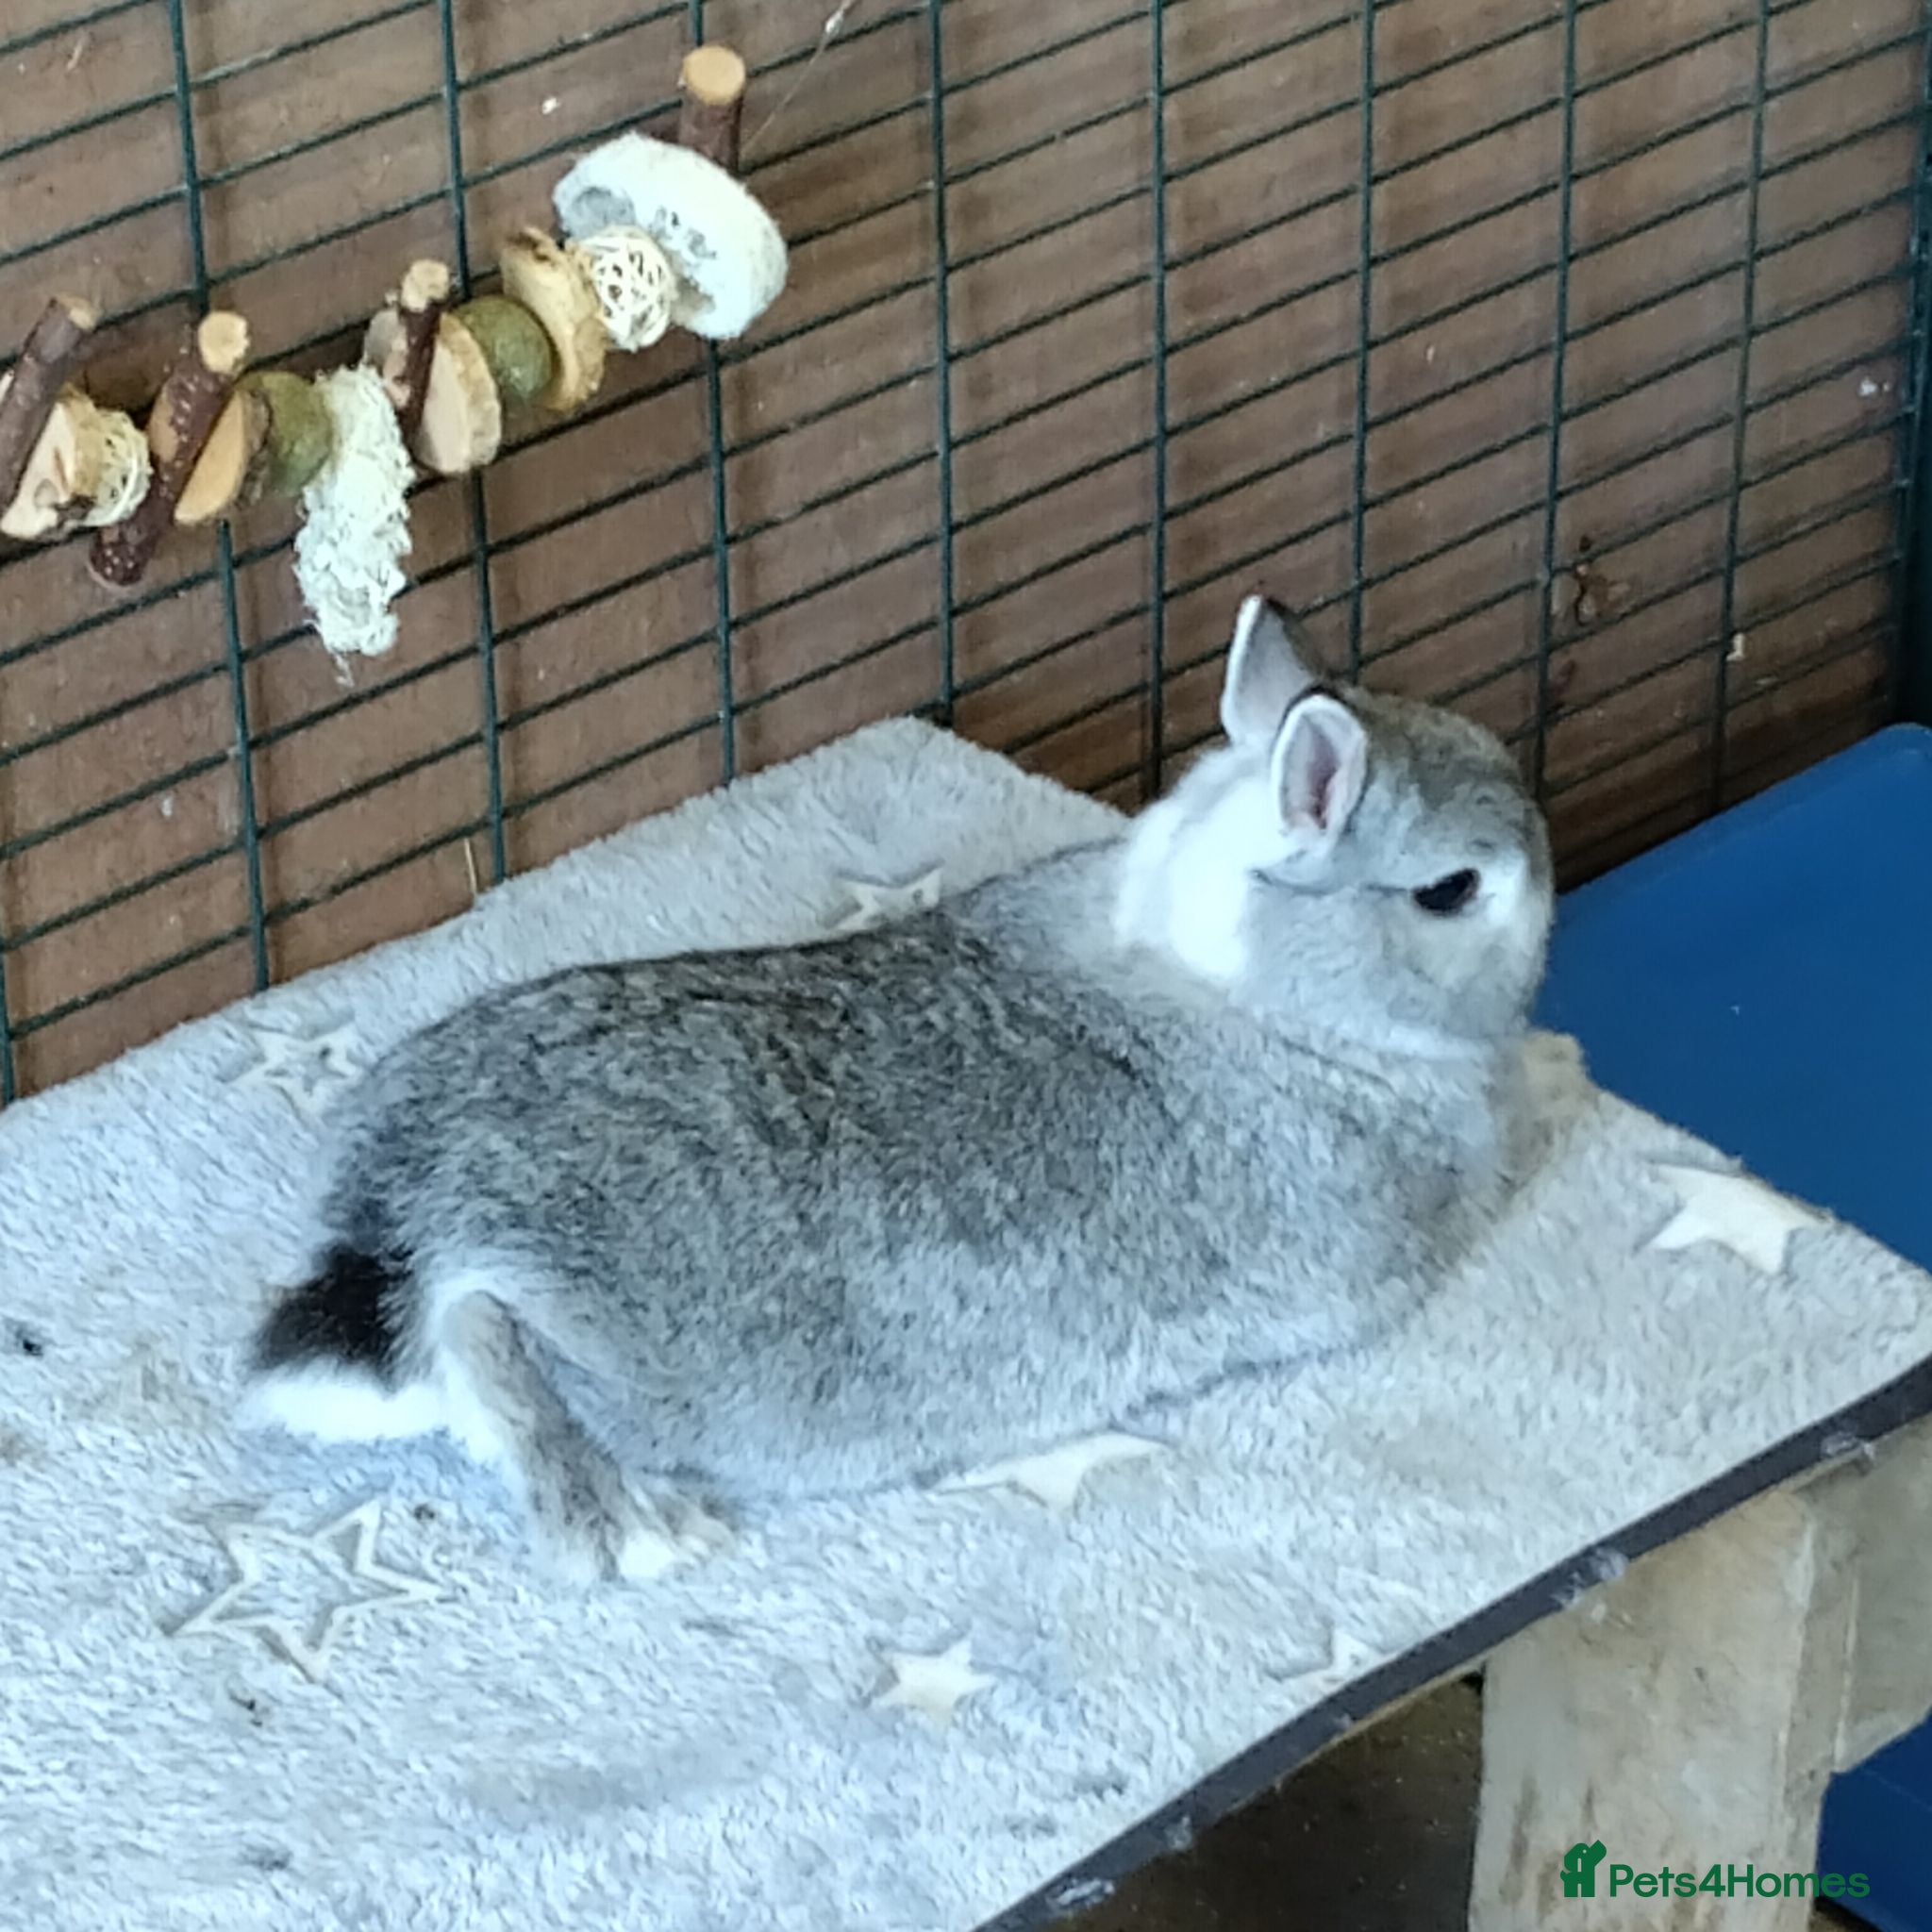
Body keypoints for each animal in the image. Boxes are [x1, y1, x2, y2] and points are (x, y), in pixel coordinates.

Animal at [241, 593, 1556, 1583]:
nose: (1547, 888)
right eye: (1449, 890)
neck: (1250, 984)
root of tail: (402, 1222)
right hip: (618, 1360)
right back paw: (643, 1528)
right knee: (490, 1336)